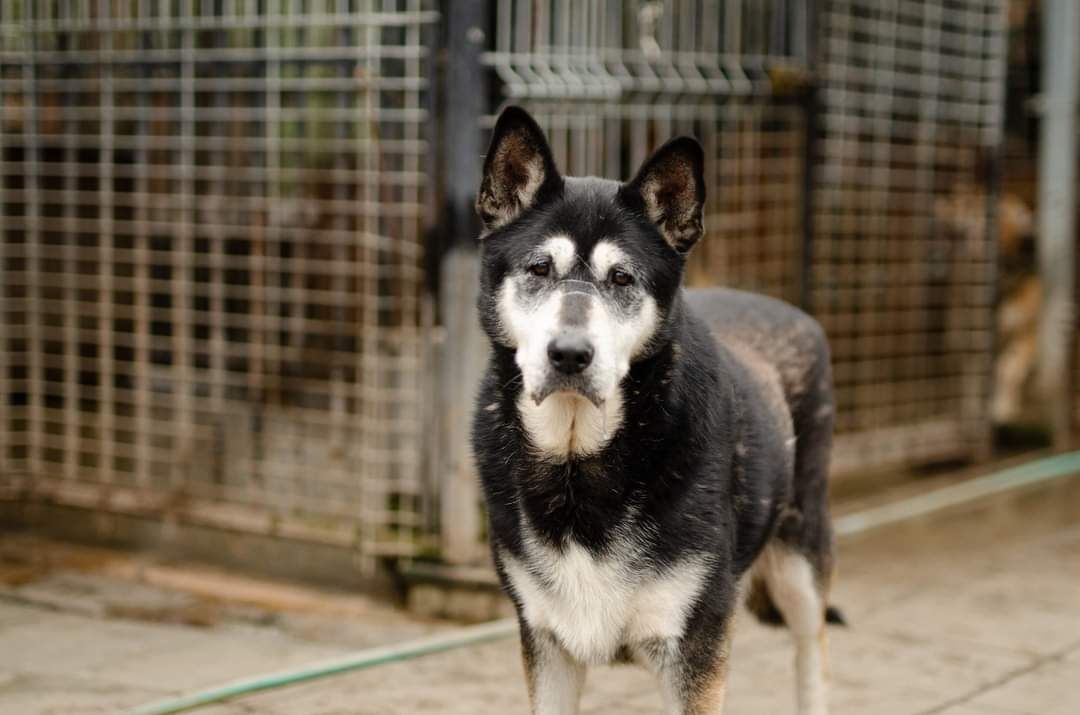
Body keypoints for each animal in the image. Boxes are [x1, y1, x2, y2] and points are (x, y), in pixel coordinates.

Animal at [475, 108, 842, 715]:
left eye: (622, 278)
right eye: (539, 269)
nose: (569, 354)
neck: (579, 463)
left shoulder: (695, 649)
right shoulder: (546, 642)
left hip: (801, 561)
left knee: (812, 655)